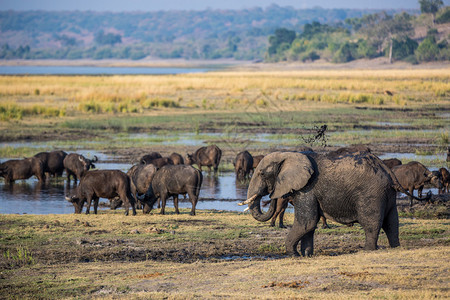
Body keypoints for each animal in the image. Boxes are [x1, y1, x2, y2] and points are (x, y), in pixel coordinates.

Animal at [239, 151, 404, 256]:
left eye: (261, 173)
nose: (272, 192)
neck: (288, 154)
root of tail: (389, 172)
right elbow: (309, 226)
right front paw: (306, 255)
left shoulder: (306, 189)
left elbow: (307, 223)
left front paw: (294, 254)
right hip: (387, 195)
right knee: (391, 223)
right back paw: (395, 247)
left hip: (371, 194)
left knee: (371, 224)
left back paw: (367, 250)